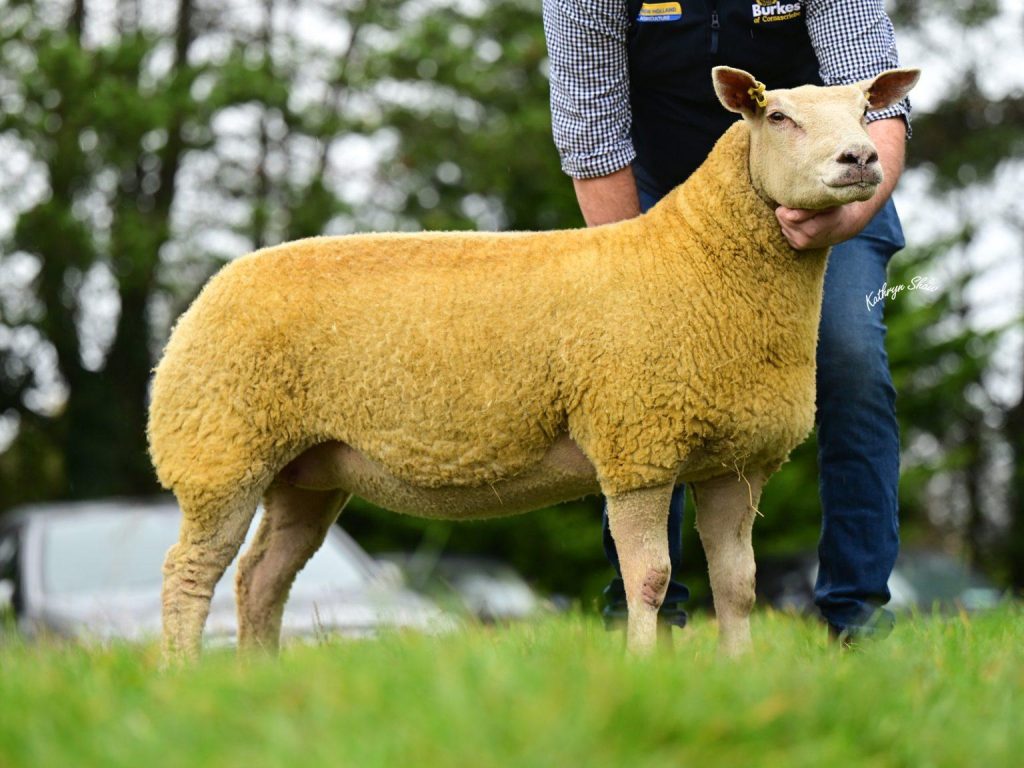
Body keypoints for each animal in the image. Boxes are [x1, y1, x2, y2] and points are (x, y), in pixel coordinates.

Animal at [148, 66, 920, 662]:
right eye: (778, 116)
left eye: (864, 111)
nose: (861, 159)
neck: (698, 260)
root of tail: (210, 291)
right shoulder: (637, 448)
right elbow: (649, 579)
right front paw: (643, 669)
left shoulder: (735, 461)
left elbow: (739, 586)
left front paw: (738, 673)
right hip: (220, 451)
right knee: (190, 573)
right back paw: (185, 679)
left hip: (306, 467)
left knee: (261, 577)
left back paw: (258, 677)